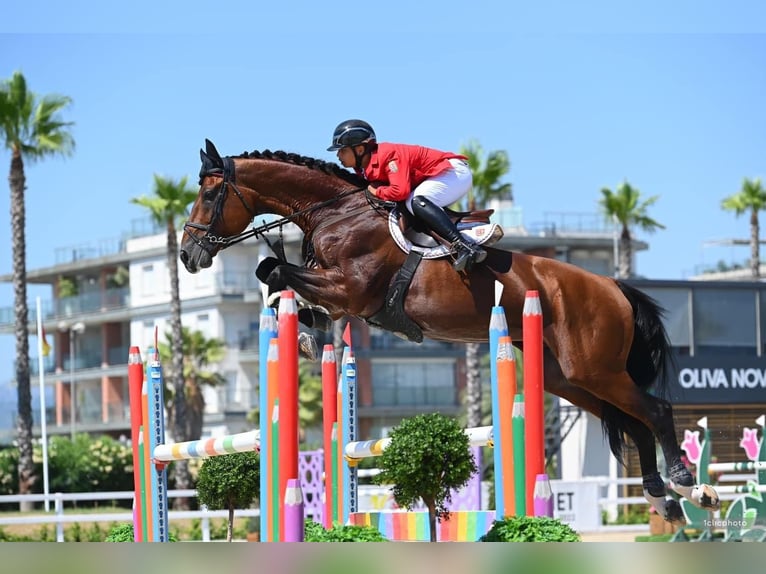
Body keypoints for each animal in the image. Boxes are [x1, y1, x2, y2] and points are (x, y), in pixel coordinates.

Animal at [180, 139, 720, 526]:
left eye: (209, 194)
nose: (188, 254)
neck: (336, 211)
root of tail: (611, 286)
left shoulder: (351, 289)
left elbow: (273, 268)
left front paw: (306, 329)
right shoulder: (337, 292)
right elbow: (275, 275)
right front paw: (309, 331)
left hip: (594, 367)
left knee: (655, 409)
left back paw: (689, 484)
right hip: (568, 376)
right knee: (632, 421)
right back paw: (663, 499)